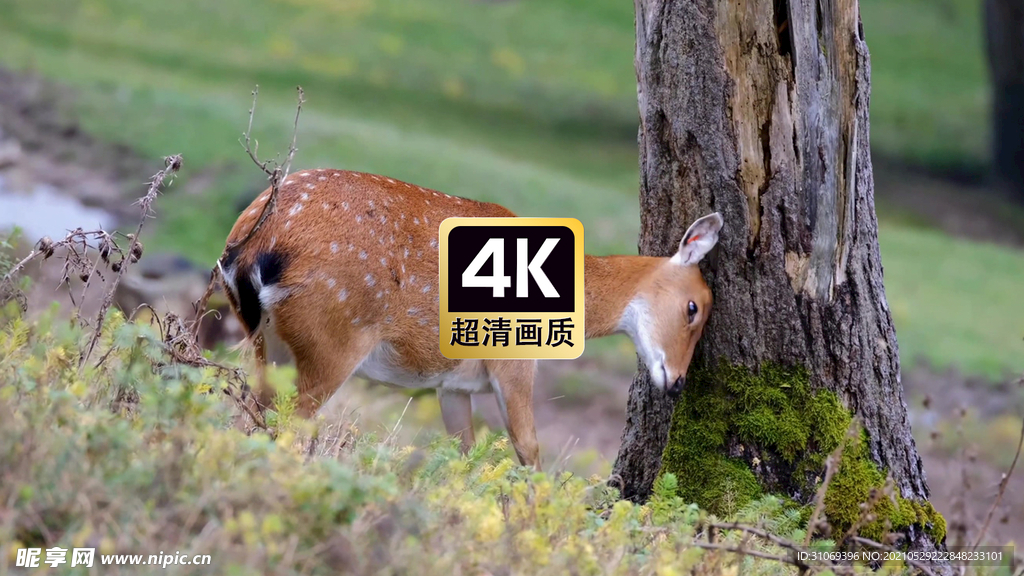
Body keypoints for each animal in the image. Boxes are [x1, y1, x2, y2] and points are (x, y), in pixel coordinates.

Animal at [219, 168, 723, 468]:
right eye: (694, 308)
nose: (676, 382)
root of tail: (252, 243)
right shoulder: (514, 360)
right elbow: (528, 447)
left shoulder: (453, 384)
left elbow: (462, 452)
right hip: (334, 338)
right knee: (287, 425)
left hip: (267, 342)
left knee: (251, 415)